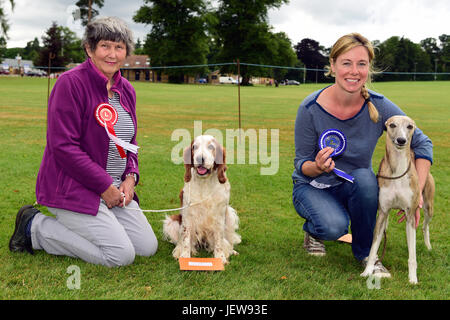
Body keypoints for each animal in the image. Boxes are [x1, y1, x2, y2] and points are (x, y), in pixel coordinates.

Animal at [161, 134, 239, 264]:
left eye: (211, 147)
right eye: (194, 147)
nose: (199, 159)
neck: (204, 183)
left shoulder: (219, 216)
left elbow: (219, 241)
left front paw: (220, 258)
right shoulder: (187, 216)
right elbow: (186, 239)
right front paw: (184, 257)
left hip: (230, 215)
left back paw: (231, 250)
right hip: (172, 222)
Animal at [360, 114, 434, 284]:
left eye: (410, 126)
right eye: (392, 125)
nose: (401, 140)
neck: (397, 170)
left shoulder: (410, 216)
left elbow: (412, 255)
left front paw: (413, 278)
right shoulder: (382, 212)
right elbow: (373, 249)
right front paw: (367, 271)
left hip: (428, 207)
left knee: (425, 226)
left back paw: (428, 246)